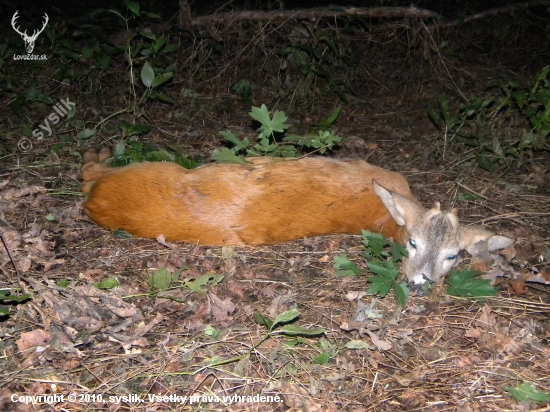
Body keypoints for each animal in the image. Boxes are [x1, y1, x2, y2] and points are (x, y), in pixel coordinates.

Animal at [82, 149, 516, 286]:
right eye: (414, 243)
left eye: (452, 256)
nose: (421, 280)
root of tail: (94, 204)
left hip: (149, 170)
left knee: (88, 171)